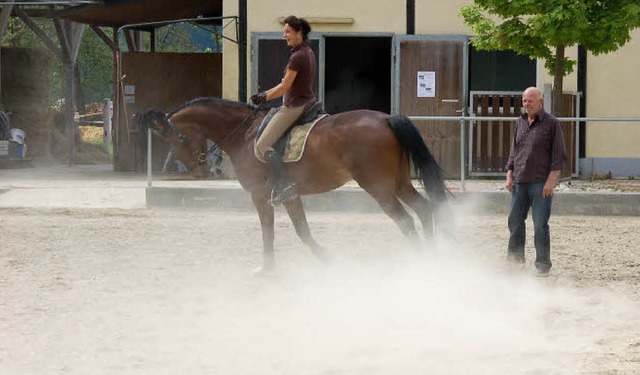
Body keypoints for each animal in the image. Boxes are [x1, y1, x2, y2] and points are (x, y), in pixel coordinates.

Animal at [135, 98, 448, 272]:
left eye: (175, 139)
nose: (200, 171)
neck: (243, 134)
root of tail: (386, 118)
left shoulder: (260, 195)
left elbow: (268, 231)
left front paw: (267, 267)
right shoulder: (289, 195)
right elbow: (302, 231)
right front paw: (327, 259)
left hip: (379, 188)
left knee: (406, 220)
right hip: (399, 183)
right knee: (424, 209)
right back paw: (432, 259)